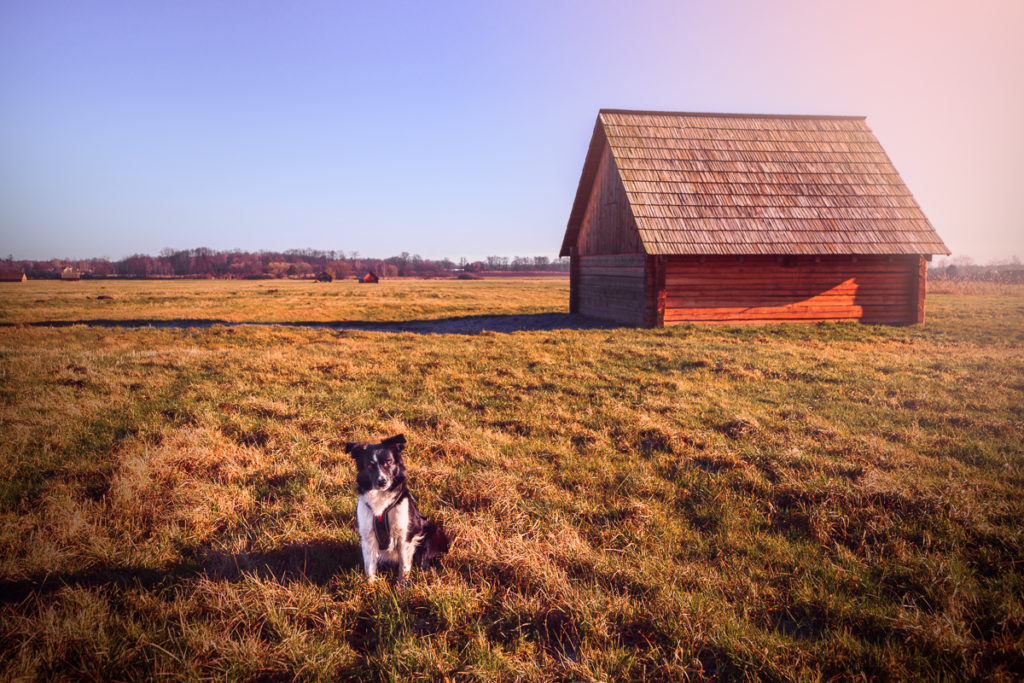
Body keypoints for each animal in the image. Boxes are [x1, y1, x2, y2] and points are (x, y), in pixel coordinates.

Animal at [346, 436, 450, 585]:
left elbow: (404, 569)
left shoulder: (404, 537)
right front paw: (370, 588)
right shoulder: (368, 537)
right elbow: (369, 569)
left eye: (388, 462)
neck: (381, 500)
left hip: (432, 532)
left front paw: (401, 589)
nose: (382, 481)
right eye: (370, 465)